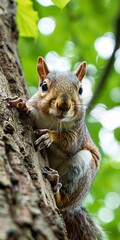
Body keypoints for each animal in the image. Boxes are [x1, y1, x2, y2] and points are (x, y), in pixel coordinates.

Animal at [6, 56, 104, 240]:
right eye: (44, 86)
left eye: (81, 90)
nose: (64, 105)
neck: (51, 120)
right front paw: (22, 104)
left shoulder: (78, 133)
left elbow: (69, 143)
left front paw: (49, 136)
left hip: (81, 169)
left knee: (63, 202)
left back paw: (55, 185)